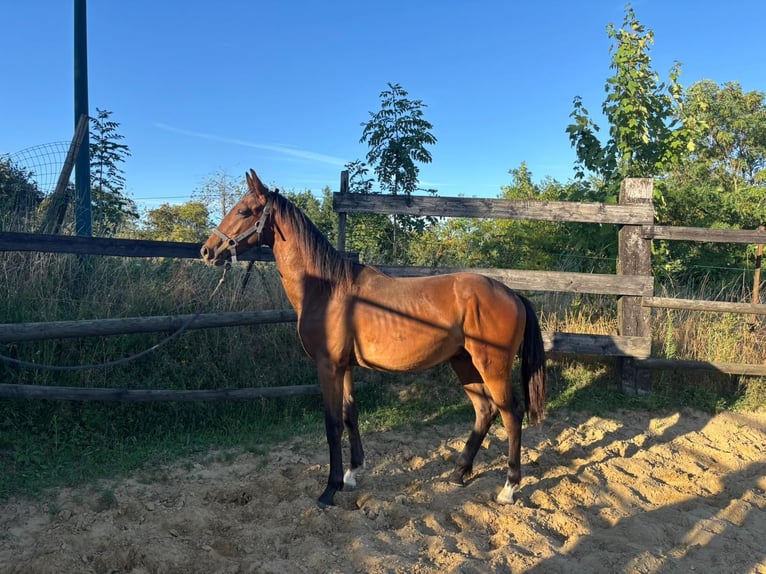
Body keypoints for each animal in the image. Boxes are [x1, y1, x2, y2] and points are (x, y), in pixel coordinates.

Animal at [201, 169, 547, 508]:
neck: (327, 289)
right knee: (485, 411)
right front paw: (352, 474)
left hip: (492, 367)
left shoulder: (328, 367)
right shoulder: (346, 367)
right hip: (463, 363)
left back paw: (509, 488)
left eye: (243, 211)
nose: (207, 250)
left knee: (511, 415)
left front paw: (330, 489)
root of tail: (513, 294)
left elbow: (332, 424)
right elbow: (350, 416)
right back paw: (459, 473)